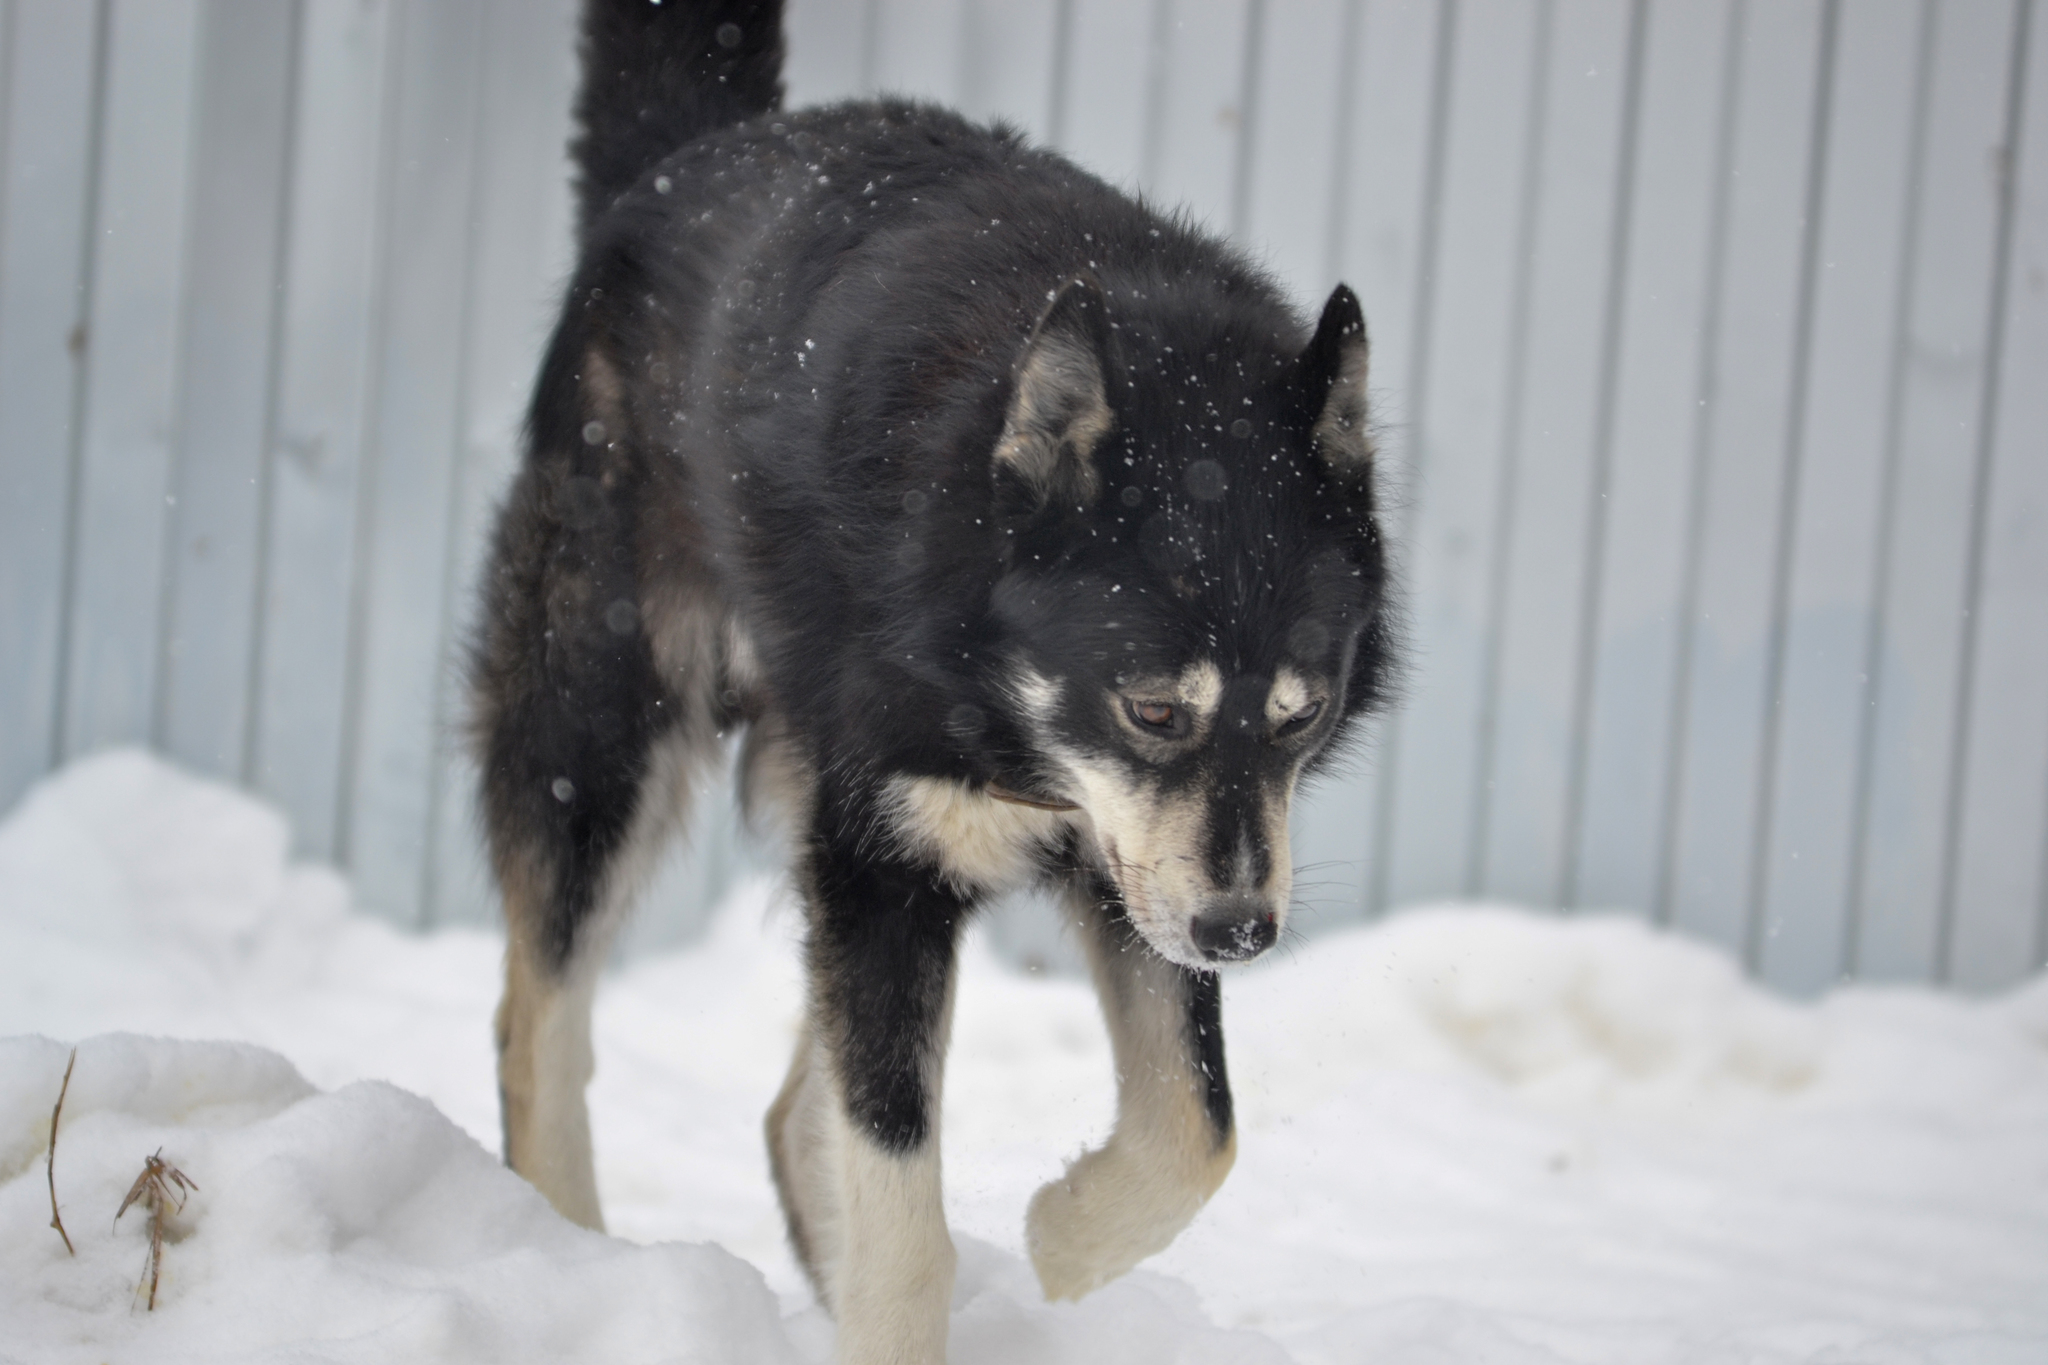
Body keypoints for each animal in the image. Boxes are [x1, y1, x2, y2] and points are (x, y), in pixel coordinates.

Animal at [471, 5, 1400, 1358]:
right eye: (1151, 710)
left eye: (1301, 716)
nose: (1242, 936)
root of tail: (688, 158)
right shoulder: (890, 860)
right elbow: (902, 1198)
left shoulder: (1128, 869)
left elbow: (1196, 1132)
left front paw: (1064, 1239)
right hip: (602, 739)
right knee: (540, 1027)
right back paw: (573, 1264)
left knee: (789, 1109)